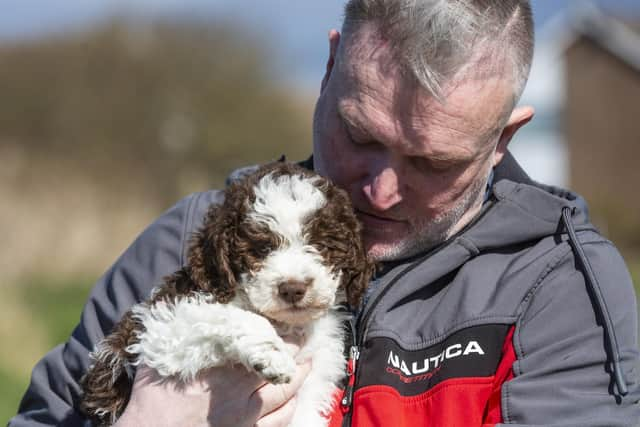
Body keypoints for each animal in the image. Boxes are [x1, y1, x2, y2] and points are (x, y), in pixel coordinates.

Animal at [80, 161, 376, 427]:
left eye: (321, 246)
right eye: (261, 249)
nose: (293, 288)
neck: (286, 324)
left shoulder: (311, 385)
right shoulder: (160, 326)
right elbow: (228, 316)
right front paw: (271, 354)